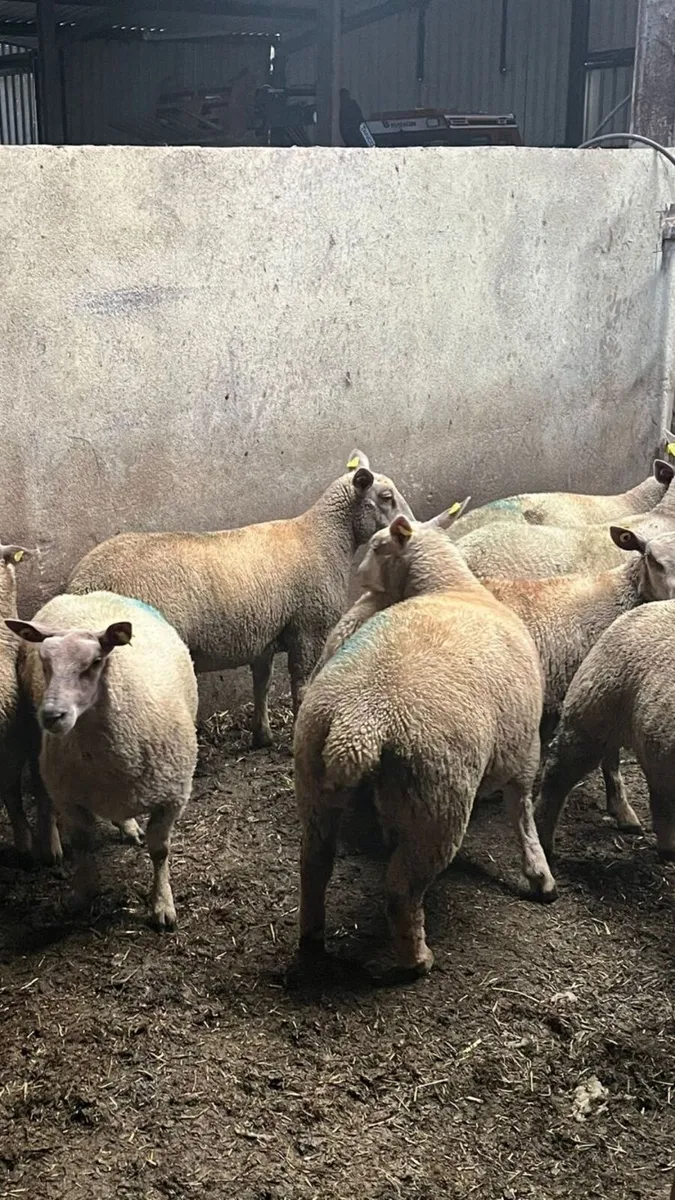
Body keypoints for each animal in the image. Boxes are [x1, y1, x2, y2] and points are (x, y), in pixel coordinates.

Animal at [7, 590, 198, 928]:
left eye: (95, 662)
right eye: (45, 662)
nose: (52, 715)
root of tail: (87, 595)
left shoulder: (173, 796)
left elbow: (160, 850)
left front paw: (162, 904)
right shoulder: (70, 798)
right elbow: (83, 845)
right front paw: (84, 894)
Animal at [67, 451, 413, 748]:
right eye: (386, 497)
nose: (411, 529)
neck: (324, 537)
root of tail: (84, 582)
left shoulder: (264, 634)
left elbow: (261, 684)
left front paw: (262, 735)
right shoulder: (308, 628)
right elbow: (301, 686)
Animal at [293, 516, 557, 983]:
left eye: (377, 546)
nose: (357, 578)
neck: (452, 586)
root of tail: (359, 720)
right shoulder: (524, 747)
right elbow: (522, 811)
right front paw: (539, 874)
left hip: (316, 780)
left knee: (314, 864)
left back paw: (313, 935)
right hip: (437, 797)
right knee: (401, 890)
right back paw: (417, 959)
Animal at [329, 518, 675, 836]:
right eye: (651, 559)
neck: (619, 596)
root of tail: (357, 614)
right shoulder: (601, 691)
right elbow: (610, 759)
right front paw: (623, 810)